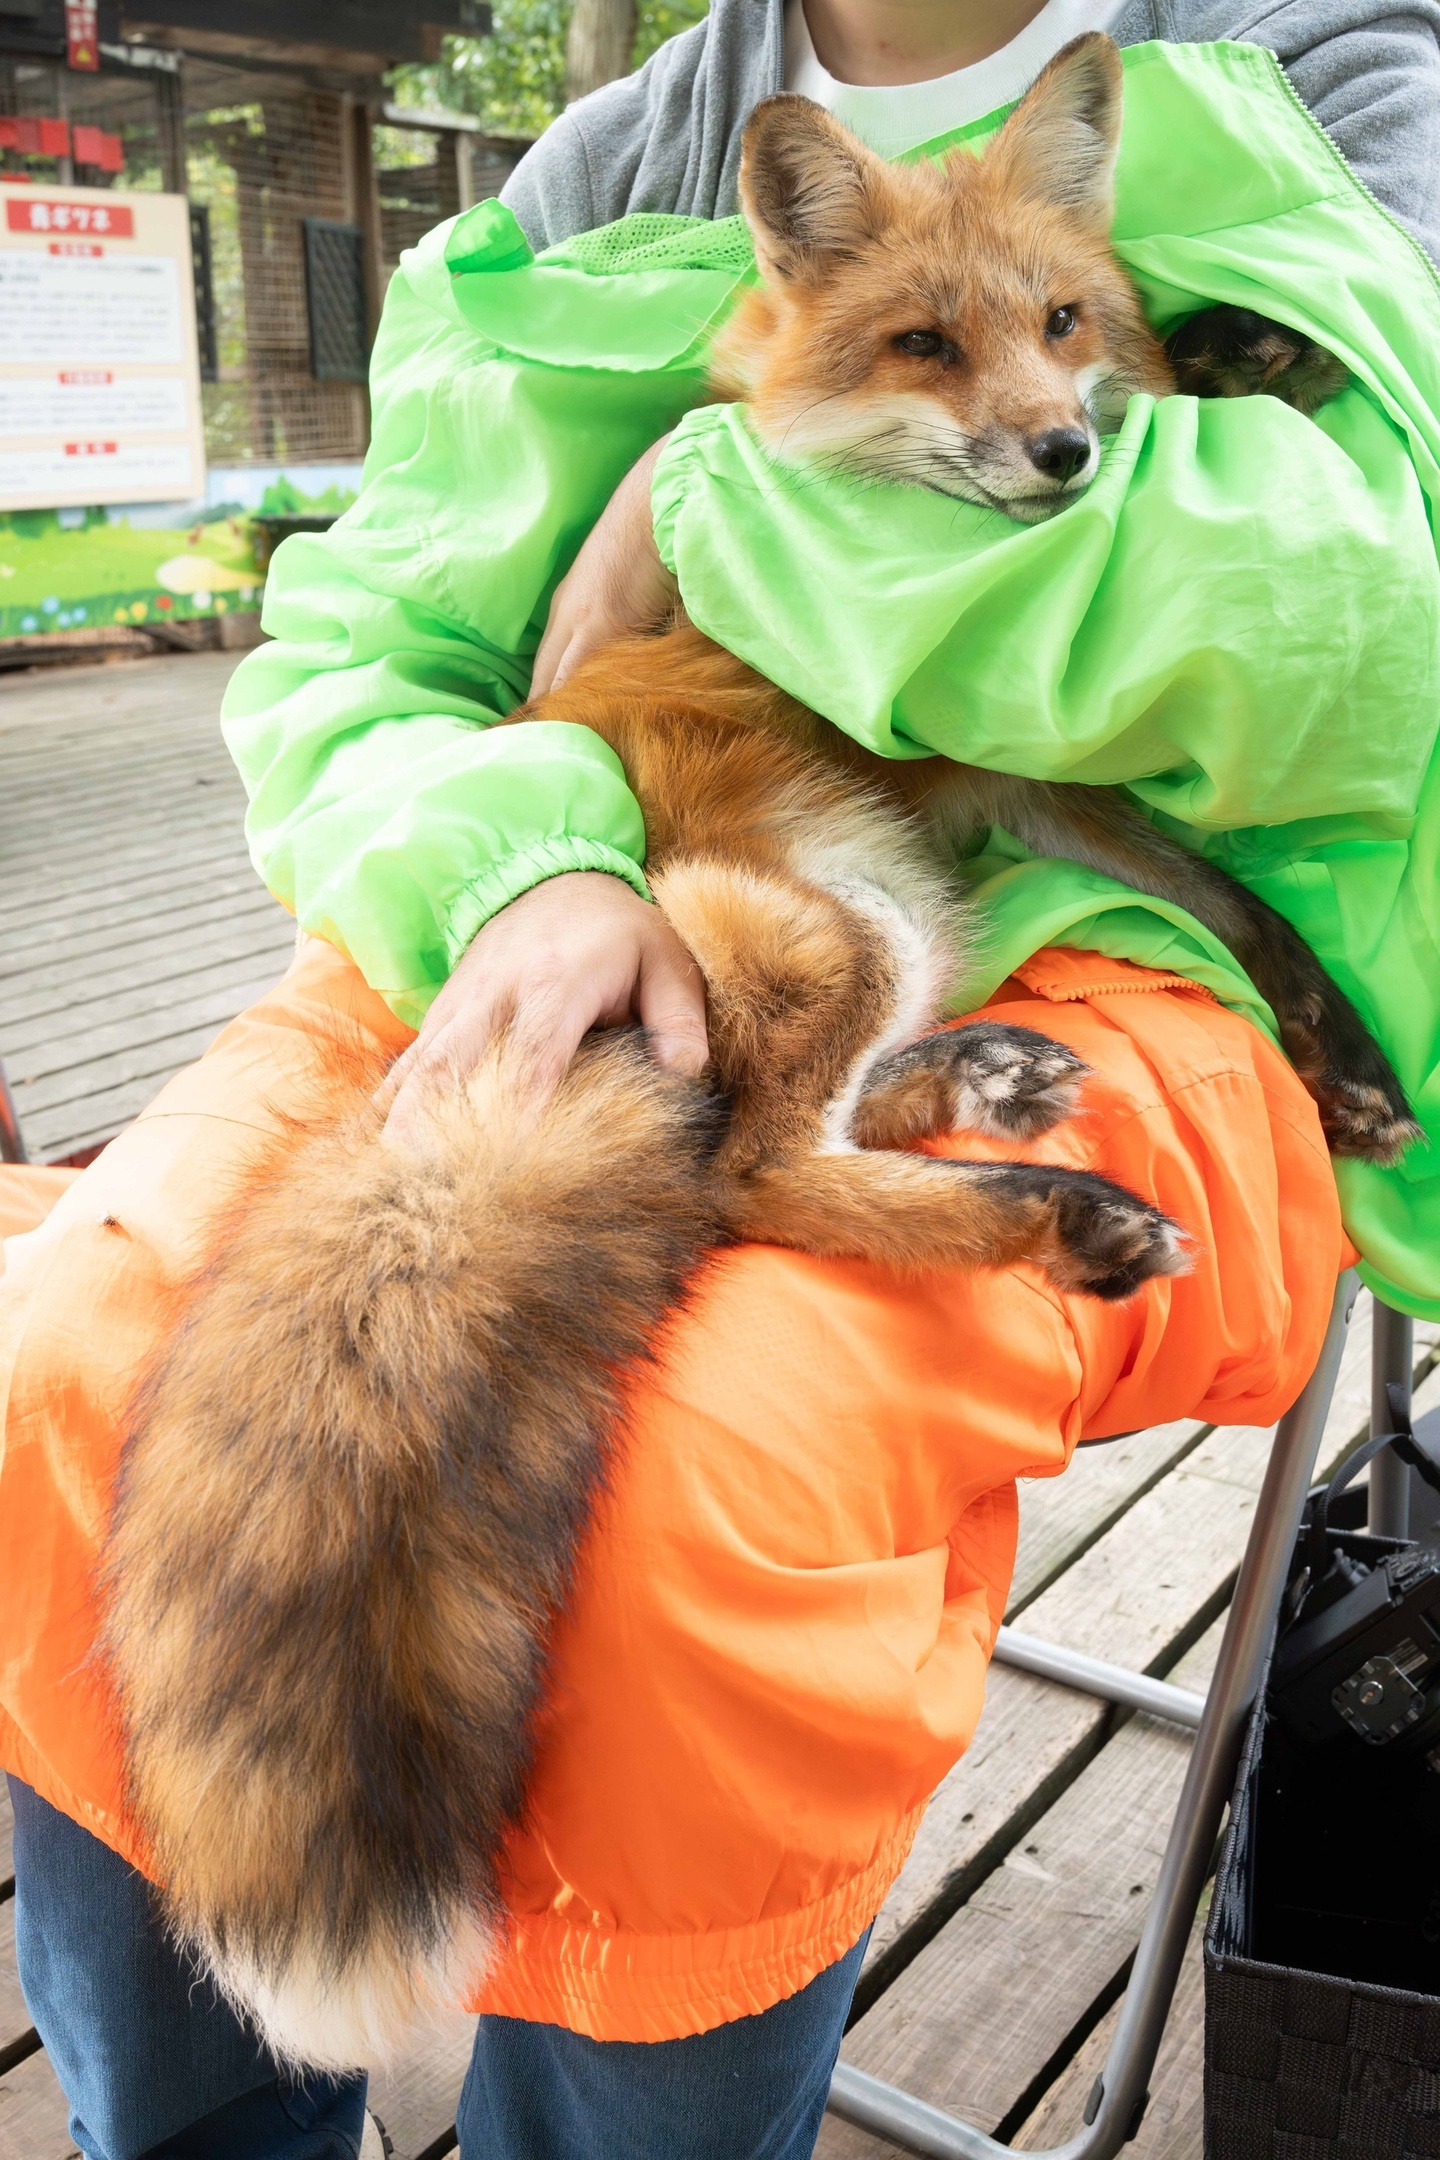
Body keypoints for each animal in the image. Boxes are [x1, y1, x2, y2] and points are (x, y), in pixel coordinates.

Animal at [101, 33, 1416, 2073]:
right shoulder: (967, 740)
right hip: (841, 926)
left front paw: (1228, 352)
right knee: (755, 1172)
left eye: (1056, 321)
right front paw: (1225, 364)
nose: (1063, 455)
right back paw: (1051, 1216)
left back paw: (991, 1091)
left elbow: (1223, 894)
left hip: (903, 918)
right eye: (924, 346)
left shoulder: (1037, 783)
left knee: (831, 1122)